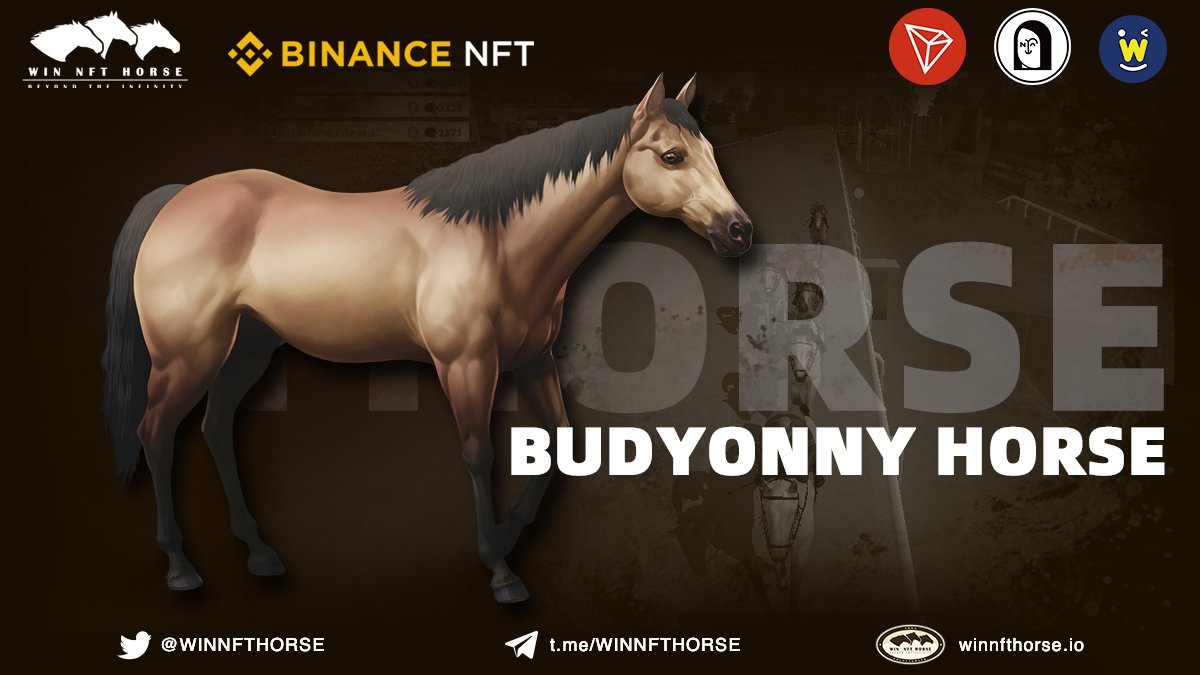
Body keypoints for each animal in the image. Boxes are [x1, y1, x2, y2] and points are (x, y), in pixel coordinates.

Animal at [102, 75, 752, 603]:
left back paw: (260, 555)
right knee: (156, 434)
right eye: (671, 155)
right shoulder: (466, 365)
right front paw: (501, 572)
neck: (497, 241)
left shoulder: (531, 360)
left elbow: (558, 442)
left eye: (710, 152)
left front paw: (509, 536)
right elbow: (479, 452)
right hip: (187, 356)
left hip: (247, 349)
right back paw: (182, 568)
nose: (739, 231)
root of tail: (176, 200)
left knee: (215, 429)